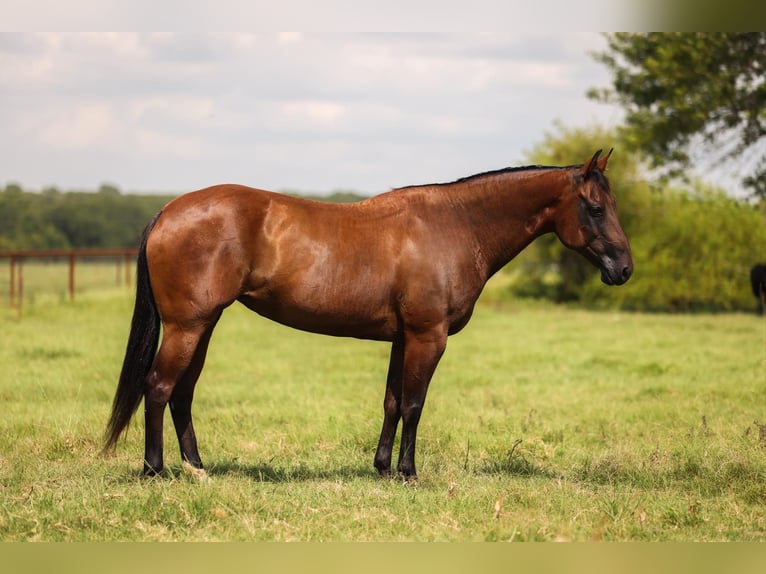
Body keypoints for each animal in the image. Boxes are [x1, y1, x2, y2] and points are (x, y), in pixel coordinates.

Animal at [103, 149, 633, 480]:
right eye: (594, 208)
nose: (624, 269)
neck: (456, 225)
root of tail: (169, 211)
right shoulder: (428, 336)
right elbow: (415, 404)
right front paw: (409, 474)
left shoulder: (403, 338)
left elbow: (393, 402)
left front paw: (382, 469)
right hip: (187, 327)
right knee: (159, 387)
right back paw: (155, 470)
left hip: (203, 325)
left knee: (182, 393)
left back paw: (197, 468)